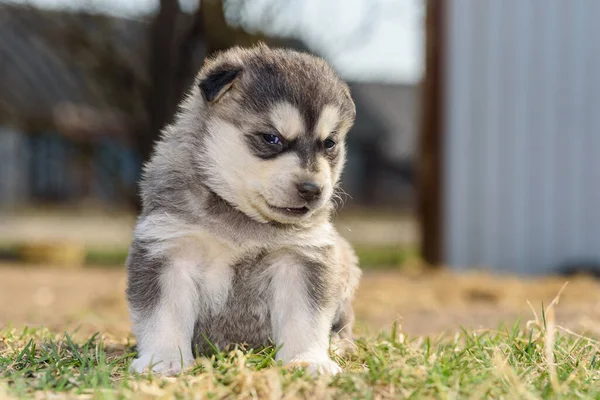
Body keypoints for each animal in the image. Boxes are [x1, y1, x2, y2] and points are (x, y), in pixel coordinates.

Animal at [126, 43, 360, 376]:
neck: (239, 214)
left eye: (329, 143)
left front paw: (307, 359)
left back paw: (338, 344)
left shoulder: (302, 258)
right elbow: (164, 315)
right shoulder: (167, 249)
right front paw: (162, 359)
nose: (312, 189)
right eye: (271, 137)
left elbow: (305, 319)